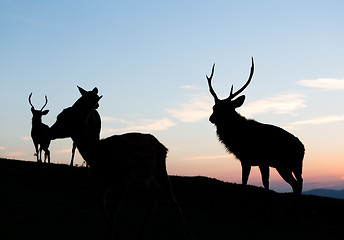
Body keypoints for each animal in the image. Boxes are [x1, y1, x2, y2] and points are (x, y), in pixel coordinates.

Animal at [48, 88, 194, 240]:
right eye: (59, 116)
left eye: (66, 117)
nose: (49, 131)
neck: (99, 153)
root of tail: (163, 146)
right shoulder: (108, 178)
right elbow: (100, 201)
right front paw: (117, 232)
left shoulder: (123, 178)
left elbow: (115, 211)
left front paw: (113, 233)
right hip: (141, 180)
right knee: (154, 196)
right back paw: (140, 234)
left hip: (159, 169)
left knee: (174, 201)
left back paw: (189, 235)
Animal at [206, 57, 306, 194]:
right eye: (214, 107)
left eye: (226, 108)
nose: (211, 118)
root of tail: (303, 148)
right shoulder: (248, 159)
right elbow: (251, 181)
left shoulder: (258, 160)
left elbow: (258, 182)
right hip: (288, 166)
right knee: (297, 183)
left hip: (289, 165)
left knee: (298, 183)